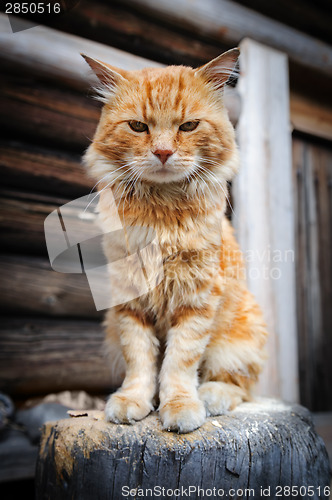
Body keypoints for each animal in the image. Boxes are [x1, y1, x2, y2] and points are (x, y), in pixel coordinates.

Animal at [82, 48, 268, 432]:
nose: (164, 153)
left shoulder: (196, 299)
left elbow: (180, 361)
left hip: (239, 340)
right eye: (138, 126)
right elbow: (140, 359)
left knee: (237, 385)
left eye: (188, 126)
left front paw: (181, 406)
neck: (162, 214)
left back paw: (211, 397)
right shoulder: (129, 302)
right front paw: (134, 400)